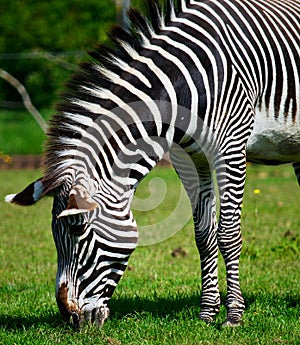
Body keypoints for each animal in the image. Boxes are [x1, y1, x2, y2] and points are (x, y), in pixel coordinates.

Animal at [5, 0, 300, 328]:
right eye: (56, 236)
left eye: (79, 230)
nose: (71, 318)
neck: (182, 88)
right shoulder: (189, 156)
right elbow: (203, 234)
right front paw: (207, 312)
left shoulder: (231, 147)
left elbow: (227, 233)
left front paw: (233, 314)